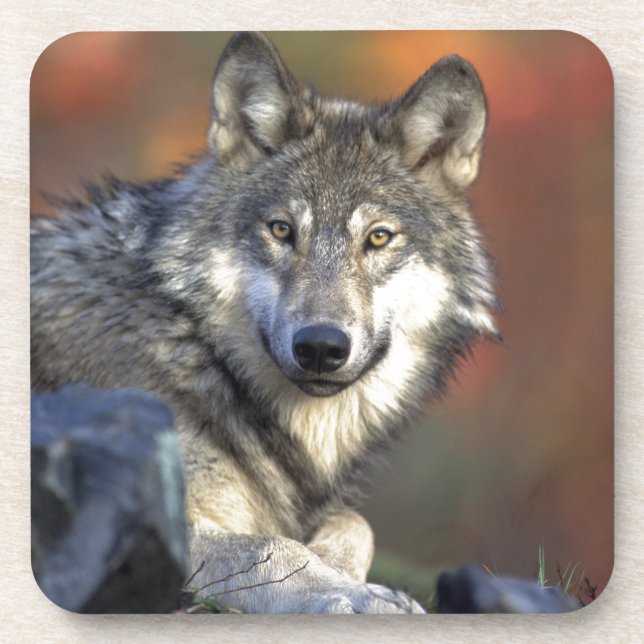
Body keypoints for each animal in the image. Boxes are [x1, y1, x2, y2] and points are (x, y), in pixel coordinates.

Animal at [31, 32, 497, 614]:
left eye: (378, 238)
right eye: (281, 230)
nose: (320, 347)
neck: (197, 351)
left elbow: (355, 523)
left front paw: (344, 569)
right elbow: (273, 547)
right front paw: (358, 594)